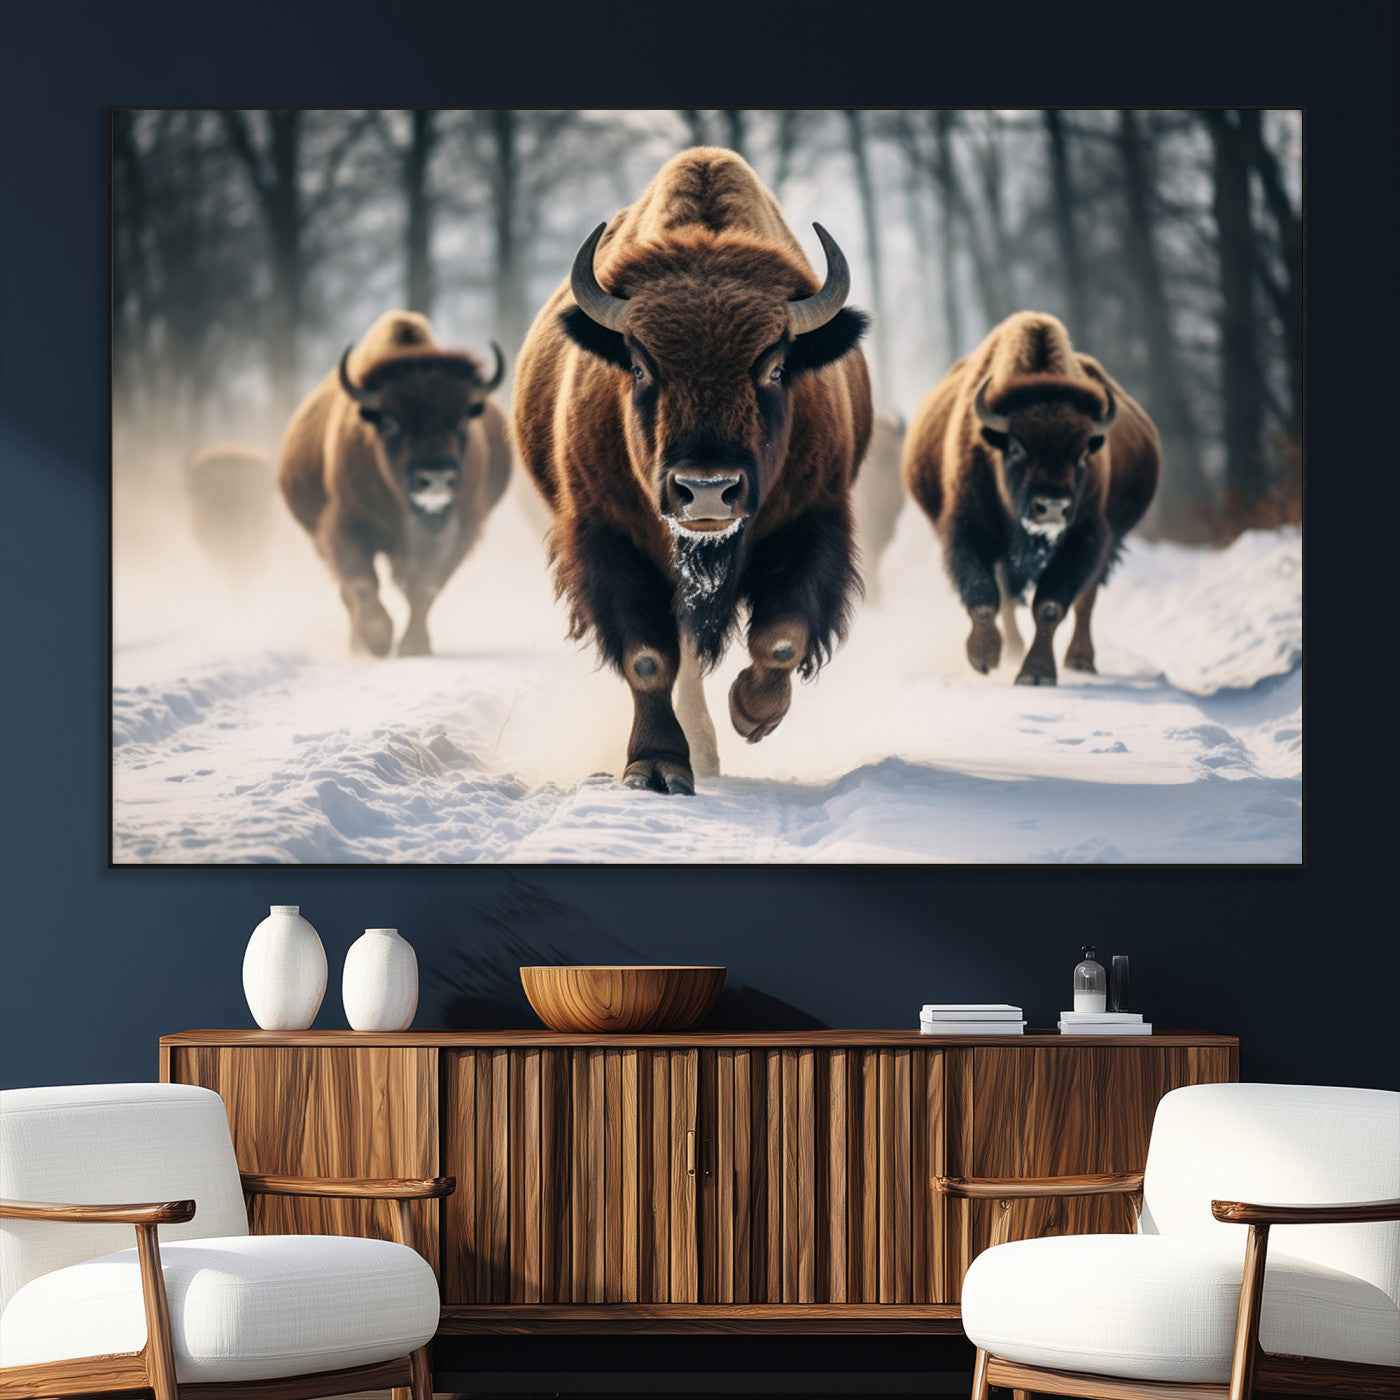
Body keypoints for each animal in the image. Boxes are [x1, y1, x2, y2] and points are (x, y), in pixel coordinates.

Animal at [279, 311, 510, 657]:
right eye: (390, 421)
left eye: (462, 419)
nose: (436, 479)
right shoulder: (345, 525)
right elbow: (362, 583)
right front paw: (377, 640)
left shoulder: (458, 531)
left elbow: (425, 587)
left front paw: (414, 645)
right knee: (348, 591)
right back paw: (358, 643)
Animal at [512, 148, 872, 793]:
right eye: (637, 365)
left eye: (776, 367)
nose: (707, 491)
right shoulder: (609, 536)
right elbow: (649, 658)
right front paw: (656, 766)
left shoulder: (813, 520)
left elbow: (783, 638)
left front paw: (752, 714)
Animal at [902, 311, 1160, 685]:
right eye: (1015, 447)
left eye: (1084, 453)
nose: (1052, 507)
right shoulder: (968, 529)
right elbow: (983, 595)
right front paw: (984, 657)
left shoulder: (1085, 537)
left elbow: (1050, 605)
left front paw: (1035, 674)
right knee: (1009, 596)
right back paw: (1012, 649)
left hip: (1108, 544)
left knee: (1086, 598)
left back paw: (1080, 660)